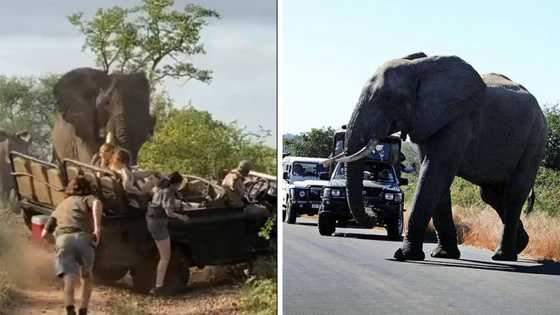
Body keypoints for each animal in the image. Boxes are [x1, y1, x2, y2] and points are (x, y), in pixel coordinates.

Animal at [332, 53, 548, 262]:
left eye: (387, 99)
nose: (373, 215)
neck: (419, 68)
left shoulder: (458, 120)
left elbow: (435, 172)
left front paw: (404, 255)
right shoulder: (427, 120)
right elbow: (435, 177)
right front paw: (443, 255)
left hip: (535, 138)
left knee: (514, 193)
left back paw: (503, 256)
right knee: (490, 194)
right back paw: (521, 244)